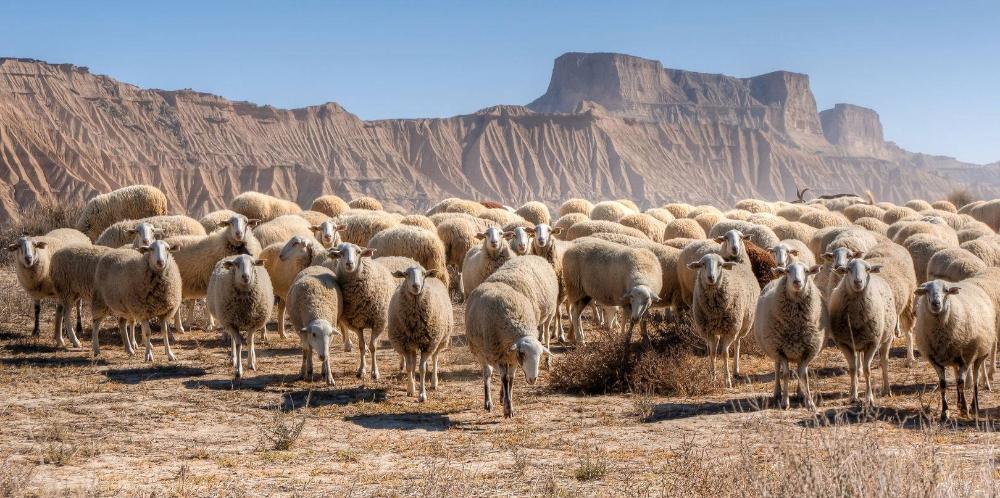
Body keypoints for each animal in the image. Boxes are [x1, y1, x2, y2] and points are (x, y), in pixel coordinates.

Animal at [324, 241, 394, 378]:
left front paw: (375, 372)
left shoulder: (379, 322)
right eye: (341, 253)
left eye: (358, 252)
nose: (349, 264)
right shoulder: (357, 325)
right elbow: (362, 346)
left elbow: (373, 347)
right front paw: (361, 370)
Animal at [692, 253, 760, 390]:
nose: (711, 277)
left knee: (737, 343)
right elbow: (712, 353)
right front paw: (712, 379)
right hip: (717, 329)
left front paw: (727, 381)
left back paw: (735, 370)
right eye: (702, 264)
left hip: (741, 325)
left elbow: (725, 354)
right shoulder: (709, 332)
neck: (714, 310)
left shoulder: (730, 331)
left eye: (720, 265)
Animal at [752, 260, 824, 408]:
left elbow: (804, 375)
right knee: (777, 369)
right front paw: (785, 402)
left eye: (806, 271)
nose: (797, 282)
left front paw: (809, 401)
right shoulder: (780, 350)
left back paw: (800, 393)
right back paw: (777, 393)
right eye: (788, 271)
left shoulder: (808, 350)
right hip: (773, 349)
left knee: (798, 371)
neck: (795, 323)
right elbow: (785, 374)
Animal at [828, 256, 900, 404]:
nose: (858, 282)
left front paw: (869, 398)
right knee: (857, 363)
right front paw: (853, 396)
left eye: (867, 269)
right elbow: (852, 369)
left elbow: (867, 370)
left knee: (884, 362)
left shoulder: (872, 342)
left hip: (887, 337)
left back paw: (887, 389)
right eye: (848, 269)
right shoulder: (844, 343)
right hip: (857, 341)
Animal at [912, 280, 996, 420]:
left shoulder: (966, 358)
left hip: (979, 354)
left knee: (975, 379)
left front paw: (964, 410)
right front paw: (945, 412)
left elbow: (961, 383)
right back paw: (959, 402)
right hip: (955, 358)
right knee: (957, 376)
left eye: (946, 291)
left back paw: (974, 406)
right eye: (926, 291)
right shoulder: (935, 360)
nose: (936, 303)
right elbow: (943, 384)